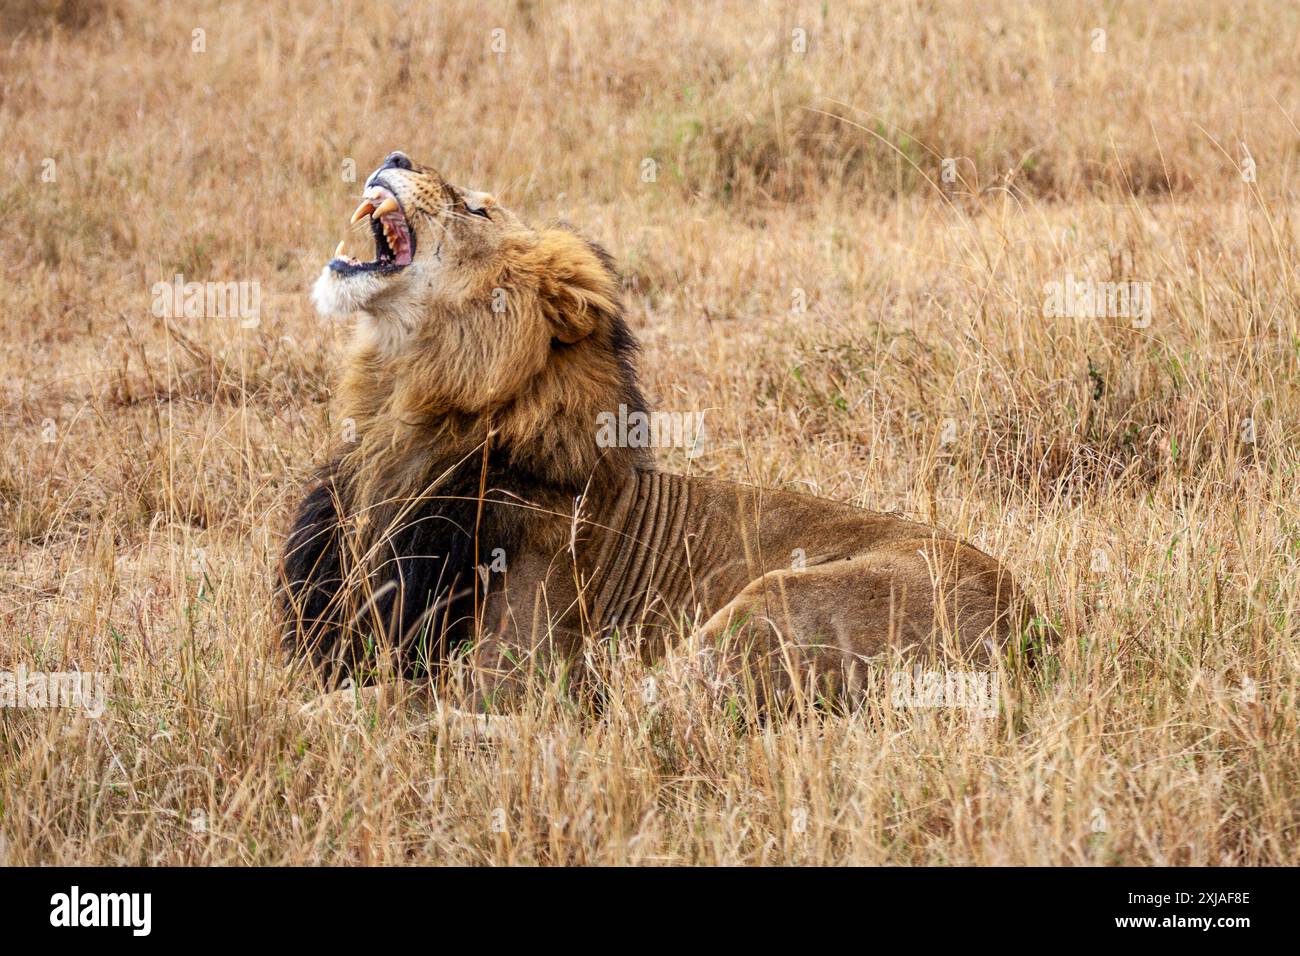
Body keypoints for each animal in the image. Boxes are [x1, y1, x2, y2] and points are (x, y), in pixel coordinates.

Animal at [280, 151, 1039, 714]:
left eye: (477, 208)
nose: (396, 156)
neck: (403, 414)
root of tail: (1030, 631)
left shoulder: (511, 674)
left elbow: (386, 699)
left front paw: (304, 715)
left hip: (769, 601)